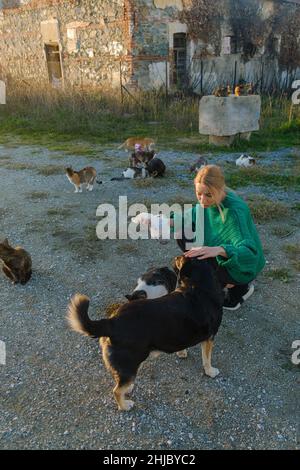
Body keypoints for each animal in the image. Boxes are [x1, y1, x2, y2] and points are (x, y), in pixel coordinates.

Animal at [67, 258, 223, 412]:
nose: (172, 261)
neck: (197, 286)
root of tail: (112, 321)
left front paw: (182, 352)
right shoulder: (210, 338)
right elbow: (207, 359)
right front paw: (210, 372)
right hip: (130, 365)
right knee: (116, 390)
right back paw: (125, 406)